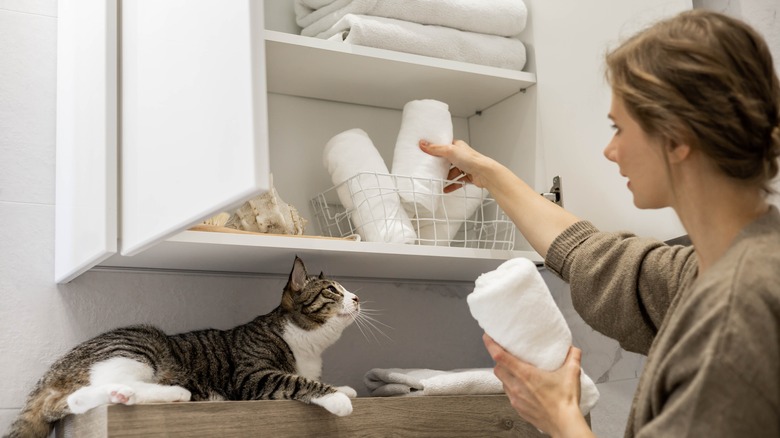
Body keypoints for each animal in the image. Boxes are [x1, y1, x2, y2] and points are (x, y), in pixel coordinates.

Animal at [4, 256, 360, 438]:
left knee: (73, 401)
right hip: (138, 345)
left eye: (345, 290)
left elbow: (309, 378)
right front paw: (337, 398)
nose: (357, 297)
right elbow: (296, 380)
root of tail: (52, 371)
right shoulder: (252, 376)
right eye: (332, 290)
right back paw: (170, 393)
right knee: (97, 388)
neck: (309, 346)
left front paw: (343, 387)